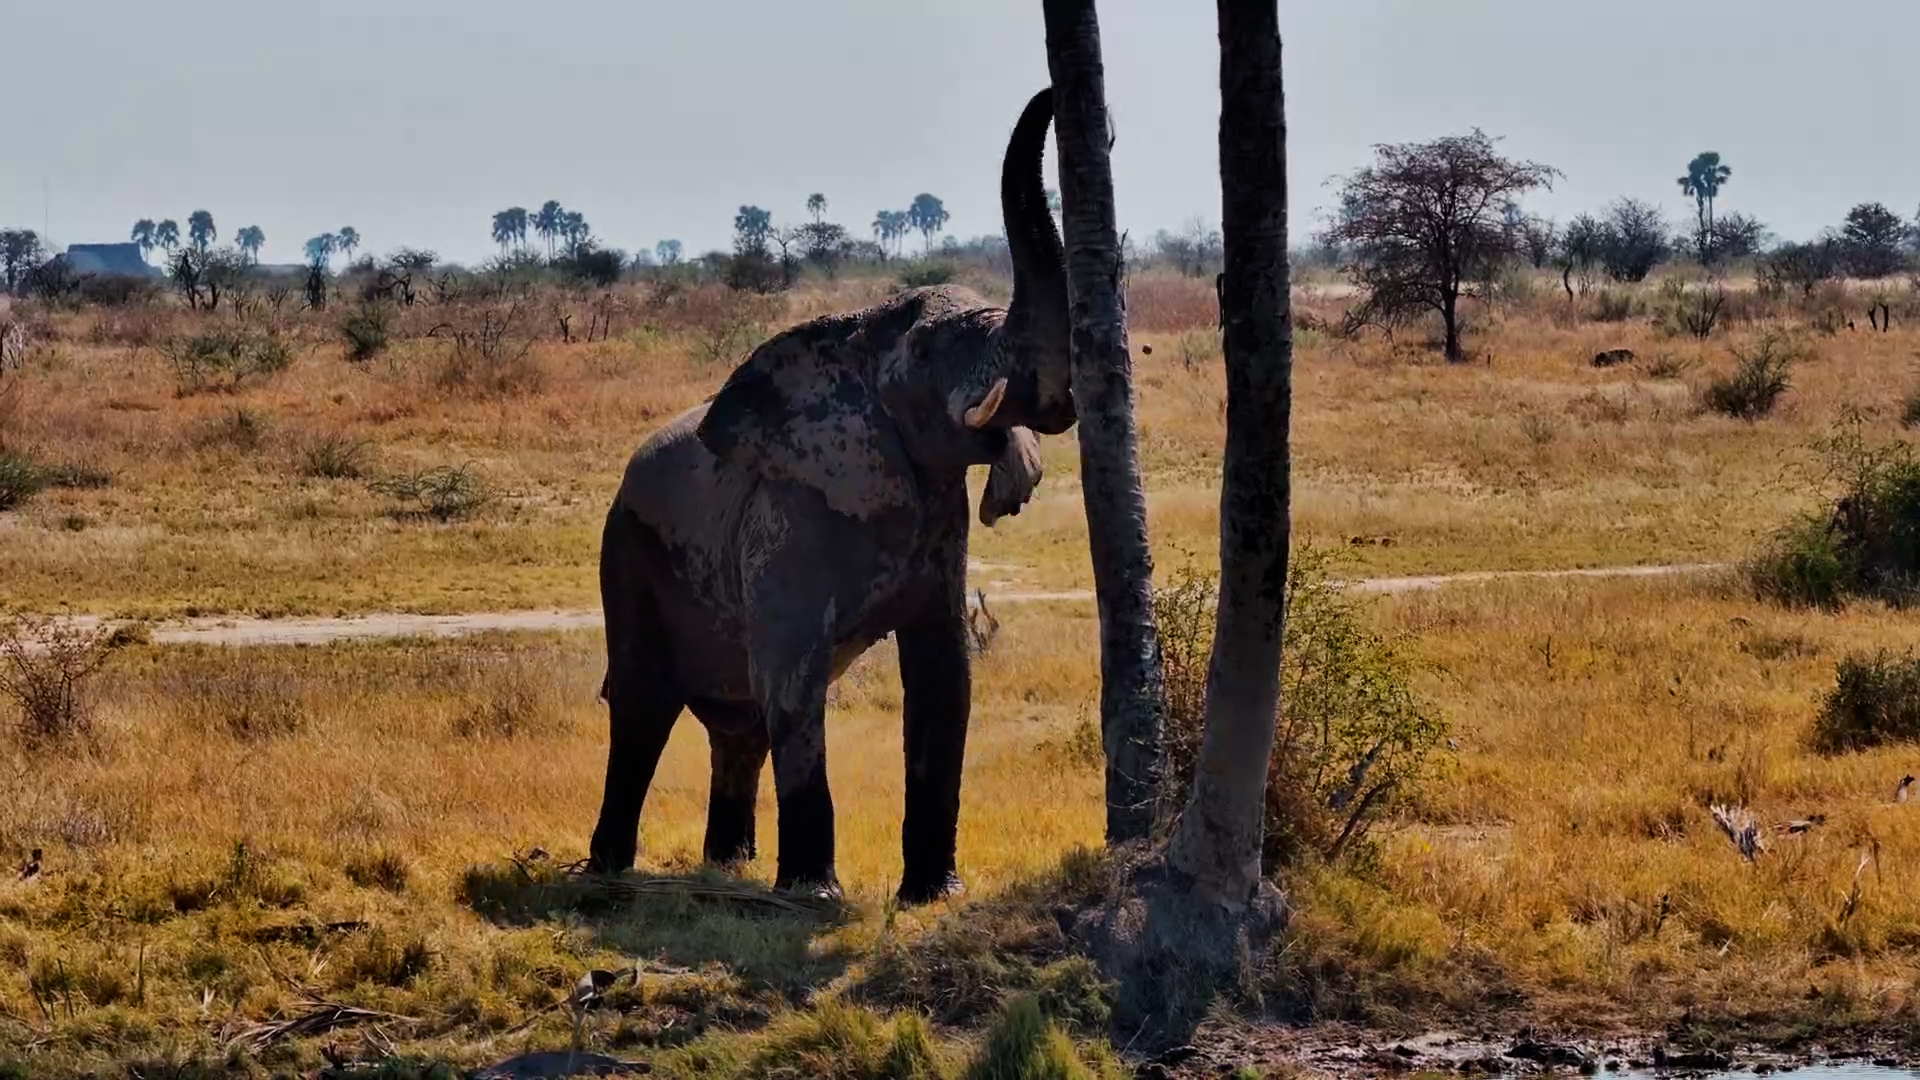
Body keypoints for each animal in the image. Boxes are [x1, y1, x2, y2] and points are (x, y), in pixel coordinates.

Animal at [586, 89, 1074, 904]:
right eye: (930, 350)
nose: (1050, 94)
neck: (855, 335)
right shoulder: (788, 516)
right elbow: (792, 674)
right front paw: (815, 897)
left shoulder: (938, 515)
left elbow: (945, 676)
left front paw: (933, 896)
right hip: (626, 545)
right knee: (643, 704)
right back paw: (608, 873)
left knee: (739, 725)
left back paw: (730, 867)